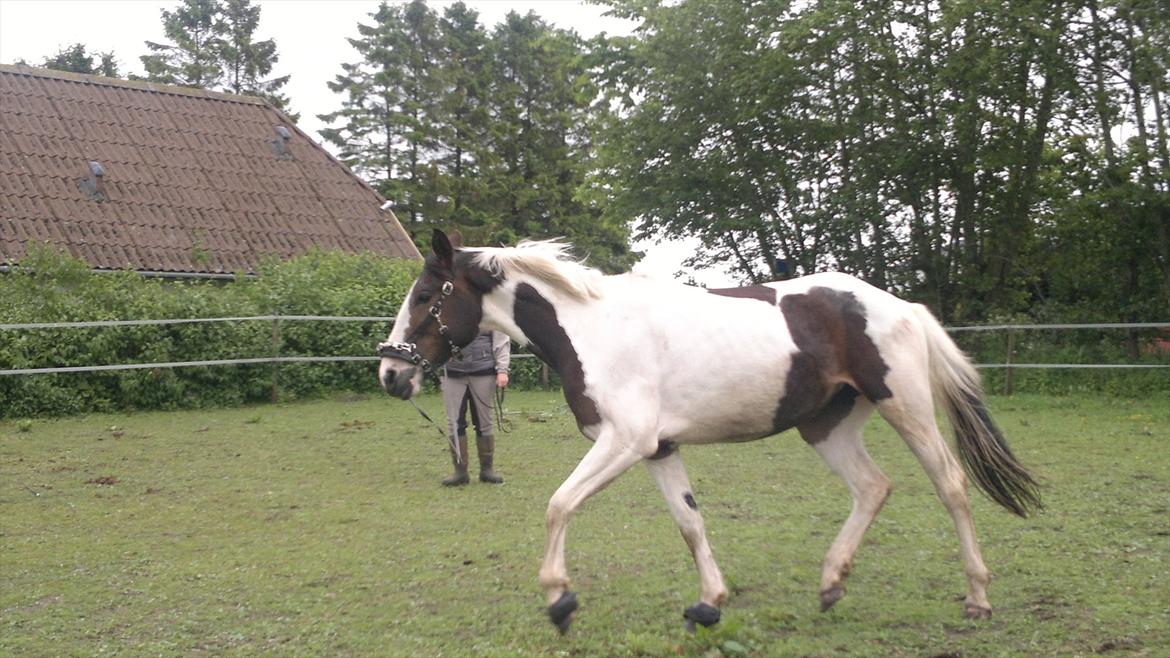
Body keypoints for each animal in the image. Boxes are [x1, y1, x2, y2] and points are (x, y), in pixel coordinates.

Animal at [376, 229, 1043, 632]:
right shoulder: (658, 449)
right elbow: (690, 523)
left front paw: (560, 600)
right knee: (873, 488)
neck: (593, 330)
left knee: (951, 484)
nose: (390, 373)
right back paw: (831, 585)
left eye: (428, 294)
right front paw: (709, 604)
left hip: (905, 407)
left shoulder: (624, 442)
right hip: (826, 427)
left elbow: (558, 505)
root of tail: (902, 306)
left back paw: (978, 596)